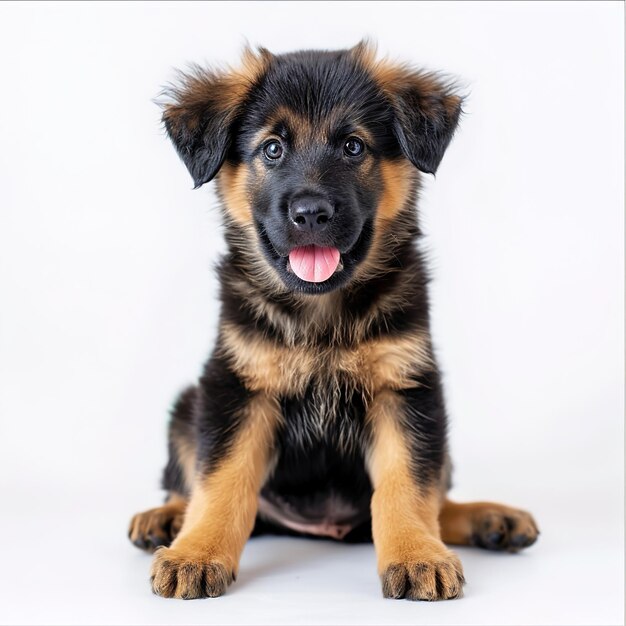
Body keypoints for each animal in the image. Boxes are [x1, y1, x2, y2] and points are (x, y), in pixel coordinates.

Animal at [128, 41, 536, 596]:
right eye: (272, 149)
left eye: (353, 147)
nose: (310, 213)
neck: (322, 315)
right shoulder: (237, 387)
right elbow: (222, 479)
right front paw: (197, 552)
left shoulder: (405, 388)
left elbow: (408, 486)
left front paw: (417, 554)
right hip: (189, 403)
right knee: (190, 481)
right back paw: (166, 518)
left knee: (436, 497)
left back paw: (488, 519)